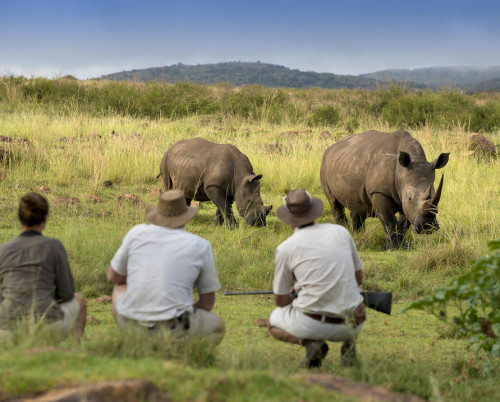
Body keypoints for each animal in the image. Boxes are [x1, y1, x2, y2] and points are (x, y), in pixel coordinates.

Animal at [322, 130, 452, 248]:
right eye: (410, 198)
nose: (427, 227)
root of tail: (331, 147)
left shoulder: (403, 195)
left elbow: (403, 223)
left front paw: (402, 246)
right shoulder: (380, 192)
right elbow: (389, 220)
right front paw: (392, 248)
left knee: (360, 205)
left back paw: (358, 236)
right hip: (325, 163)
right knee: (334, 203)